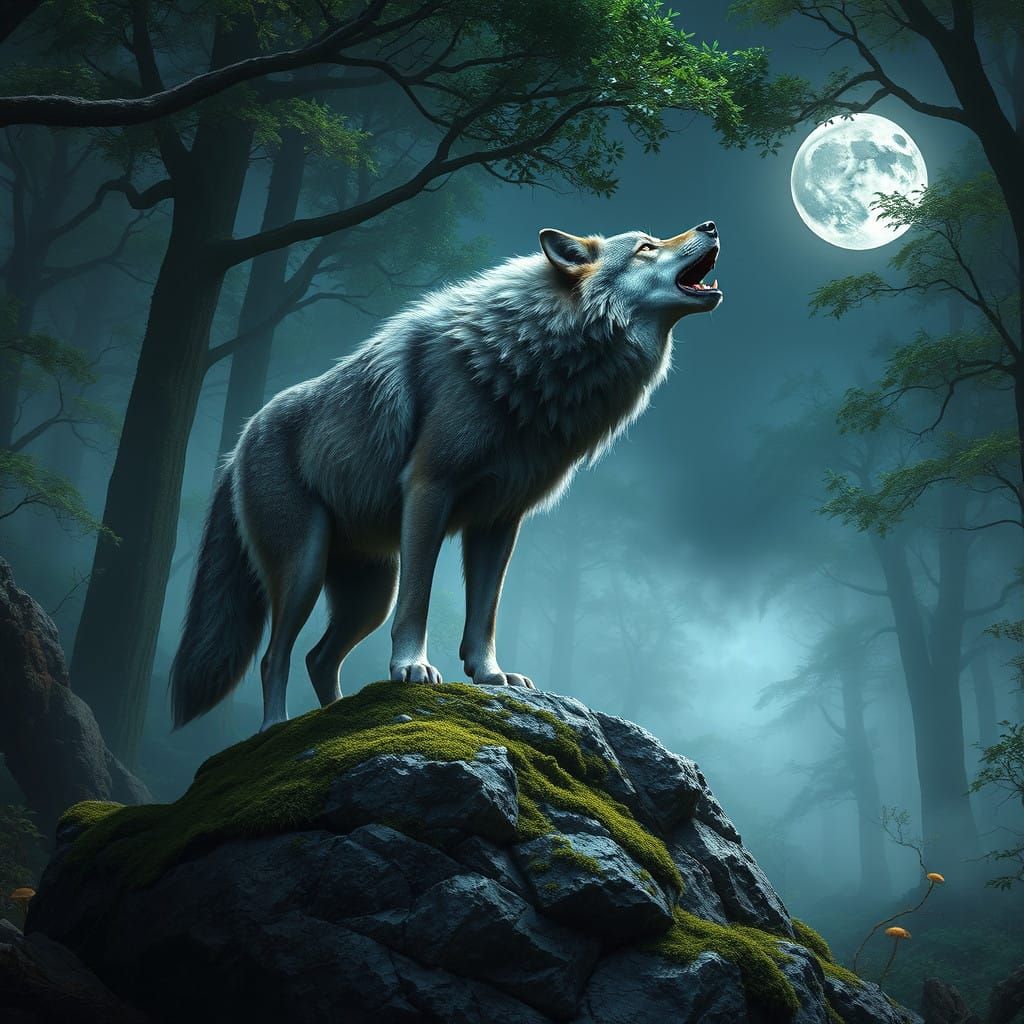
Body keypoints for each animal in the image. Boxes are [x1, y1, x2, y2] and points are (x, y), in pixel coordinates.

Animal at [170, 222, 722, 732]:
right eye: (645, 246)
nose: (710, 226)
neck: (529, 357)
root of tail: (237, 445)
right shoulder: (428, 491)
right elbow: (420, 600)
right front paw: (411, 668)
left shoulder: (500, 520)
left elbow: (485, 615)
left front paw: (491, 676)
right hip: (306, 567)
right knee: (274, 657)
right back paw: (275, 729)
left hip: (369, 595)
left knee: (318, 658)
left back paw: (337, 721)